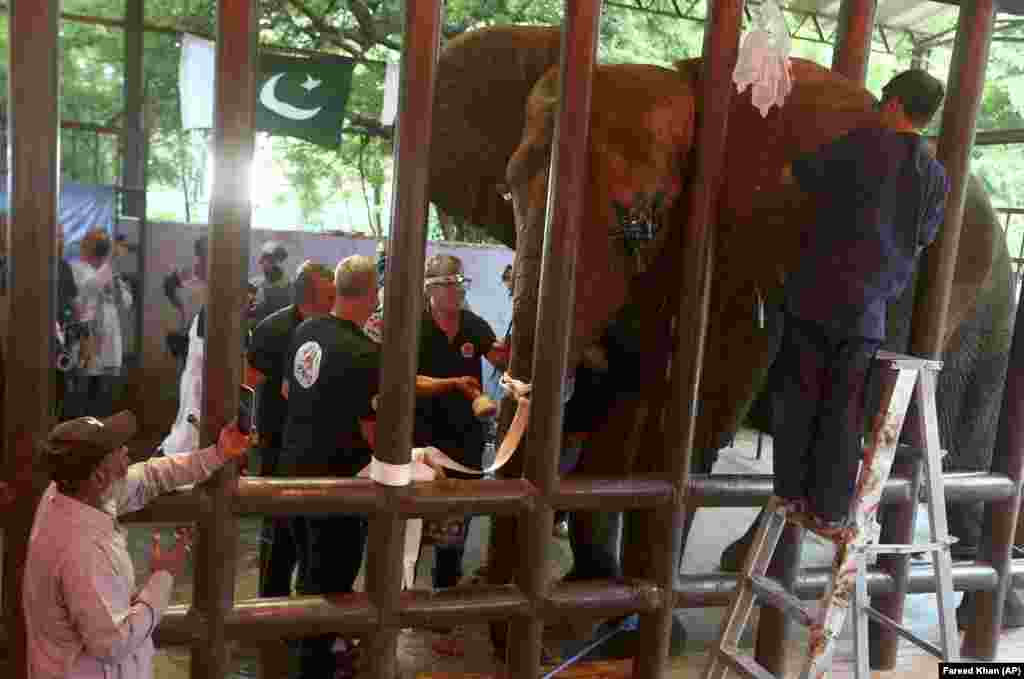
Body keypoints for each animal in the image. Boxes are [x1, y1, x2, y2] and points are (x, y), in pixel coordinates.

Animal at [428, 23, 1019, 647]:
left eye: (642, 224)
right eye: (508, 194)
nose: (496, 617)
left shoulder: (747, 257)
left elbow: (690, 411)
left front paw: (633, 631)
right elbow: (627, 404)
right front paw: (594, 606)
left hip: (981, 311)